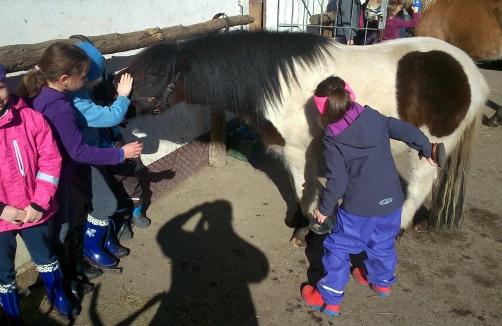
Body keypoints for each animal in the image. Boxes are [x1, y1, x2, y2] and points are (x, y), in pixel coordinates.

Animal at [116, 30, 486, 246]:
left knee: (420, 185)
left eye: (152, 74)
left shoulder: (298, 151)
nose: (114, 96)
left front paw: (305, 231)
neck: (273, 81)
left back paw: (397, 230)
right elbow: (302, 191)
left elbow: (305, 190)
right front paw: (298, 220)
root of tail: (471, 72)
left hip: (428, 146)